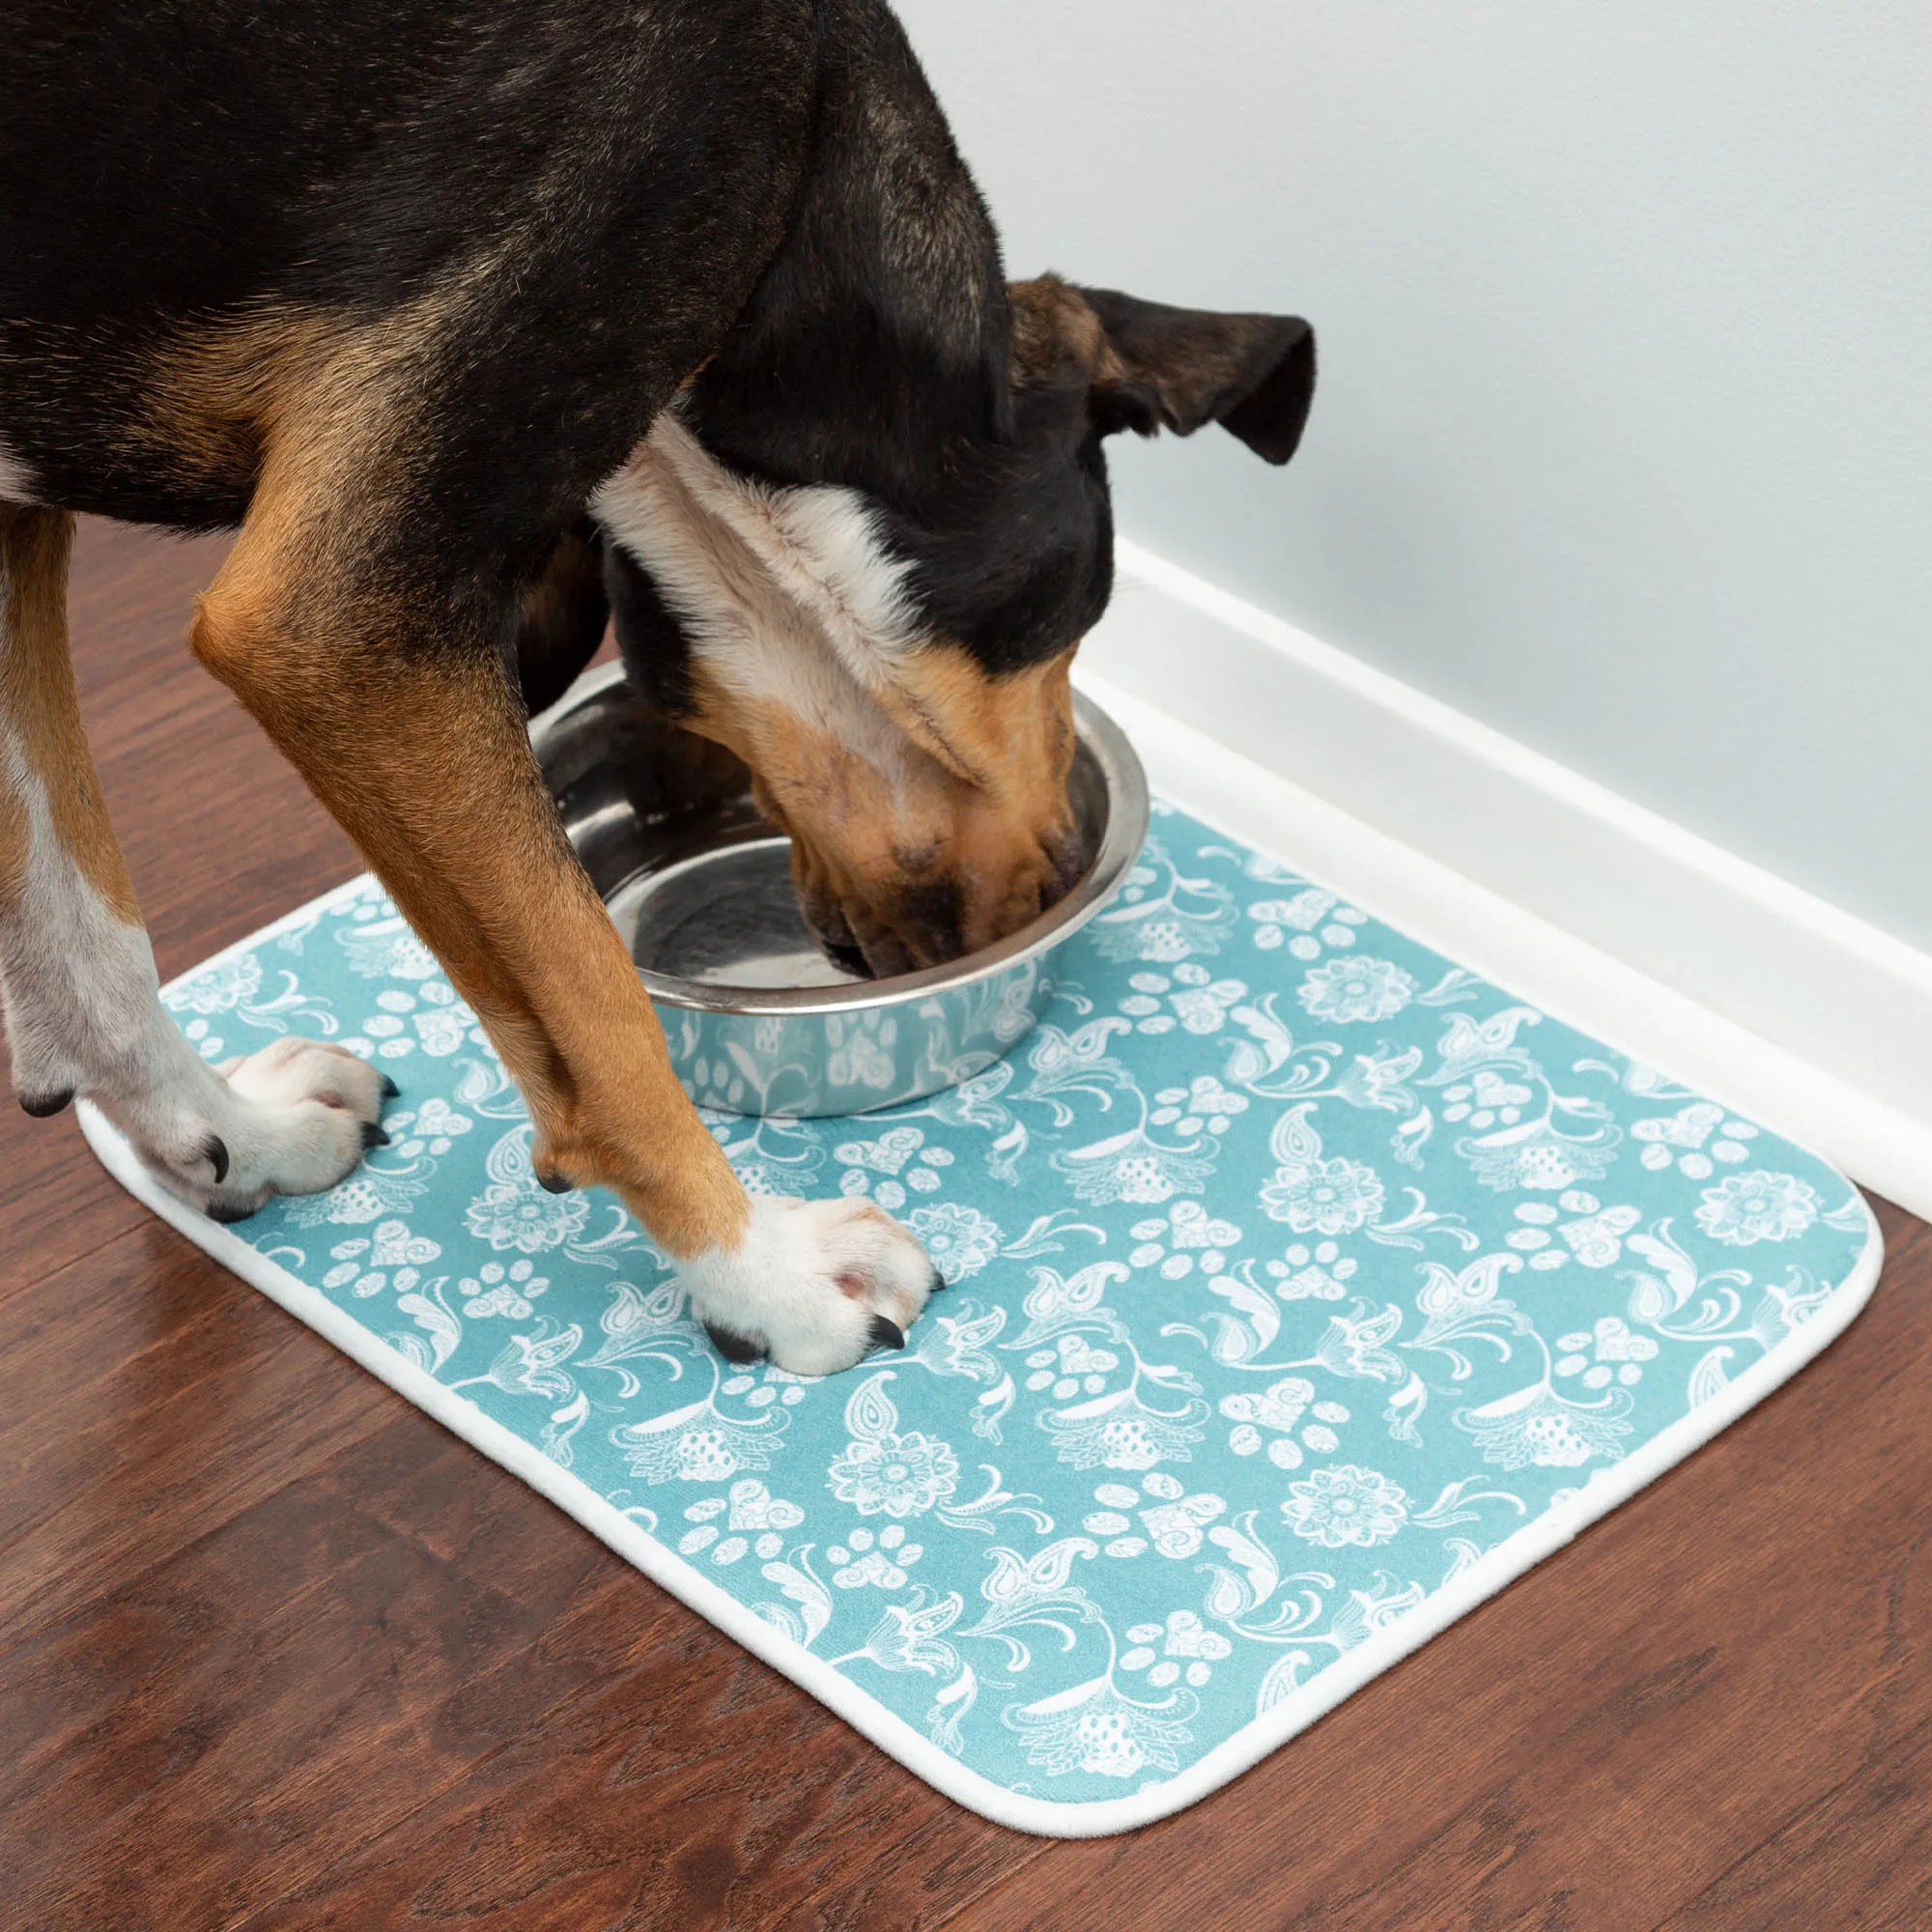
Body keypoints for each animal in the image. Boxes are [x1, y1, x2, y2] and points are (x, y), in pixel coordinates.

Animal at [0, 0, 1314, 1376]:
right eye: (1080, 621)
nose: (1061, 871)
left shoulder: (12, 520)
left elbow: (85, 934)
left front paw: (223, 1134)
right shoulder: (337, 623)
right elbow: (602, 1016)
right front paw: (764, 1275)